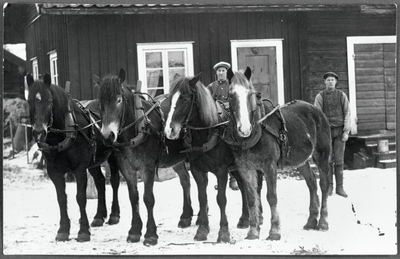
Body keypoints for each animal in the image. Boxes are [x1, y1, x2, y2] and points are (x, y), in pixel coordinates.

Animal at [26, 73, 121, 244]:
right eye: (29, 101)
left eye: (49, 101)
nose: (39, 132)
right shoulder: (54, 172)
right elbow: (61, 199)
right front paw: (63, 230)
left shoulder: (79, 170)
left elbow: (80, 198)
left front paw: (83, 231)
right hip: (94, 162)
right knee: (100, 181)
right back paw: (99, 216)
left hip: (113, 155)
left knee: (115, 181)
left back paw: (114, 215)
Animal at [98, 68, 195, 246]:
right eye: (100, 103)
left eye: (119, 100)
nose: (108, 136)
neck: (137, 129)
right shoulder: (127, 169)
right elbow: (134, 198)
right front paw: (135, 231)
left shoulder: (147, 168)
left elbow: (148, 198)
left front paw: (150, 234)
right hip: (175, 160)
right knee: (185, 181)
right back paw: (186, 216)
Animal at [164, 73, 264, 244]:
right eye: (170, 100)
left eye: (185, 98)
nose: (169, 130)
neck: (207, 132)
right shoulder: (198, 170)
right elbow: (202, 198)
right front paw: (202, 230)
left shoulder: (221, 171)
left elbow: (221, 199)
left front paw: (223, 232)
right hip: (236, 167)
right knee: (243, 186)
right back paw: (245, 219)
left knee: (256, 187)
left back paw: (259, 216)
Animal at [225, 67, 332, 242]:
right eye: (231, 94)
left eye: (250, 93)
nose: (244, 128)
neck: (256, 133)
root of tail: (317, 110)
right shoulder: (245, 169)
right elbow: (252, 198)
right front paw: (253, 232)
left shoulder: (269, 166)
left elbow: (271, 197)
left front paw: (274, 231)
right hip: (301, 161)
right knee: (311, 183)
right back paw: (311, 221)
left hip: (321, 155)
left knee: (323, 185)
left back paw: (323, 222)